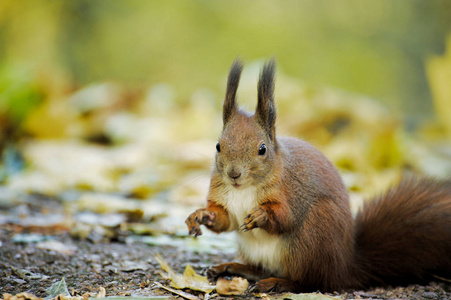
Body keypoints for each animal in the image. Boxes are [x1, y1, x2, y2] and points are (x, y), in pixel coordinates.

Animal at [185, 59, 451, 292]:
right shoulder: (225, 198)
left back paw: (279, 283)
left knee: (311, 282)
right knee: (262, 270)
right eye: (218, 146)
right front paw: (201, 215)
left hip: (311, 239)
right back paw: (232, 268)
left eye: (262, 149)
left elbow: (285, 218)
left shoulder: (291, 192)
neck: (244, 188)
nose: (234, 174)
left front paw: (261, 215)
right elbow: (225, 220)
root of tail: (345, 267)